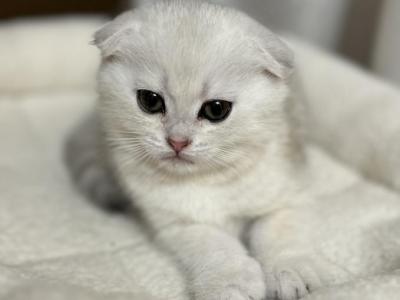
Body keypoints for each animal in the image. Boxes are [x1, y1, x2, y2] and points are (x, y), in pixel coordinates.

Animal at [66, 0, 400, 300]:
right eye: (150, 101)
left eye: (216, 110)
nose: (177, 141)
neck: (211, 180)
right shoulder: (179, 224)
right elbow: (215, 246)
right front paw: (230, 284)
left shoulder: (288, 197)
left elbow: (279, 233)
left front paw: (293, 271)